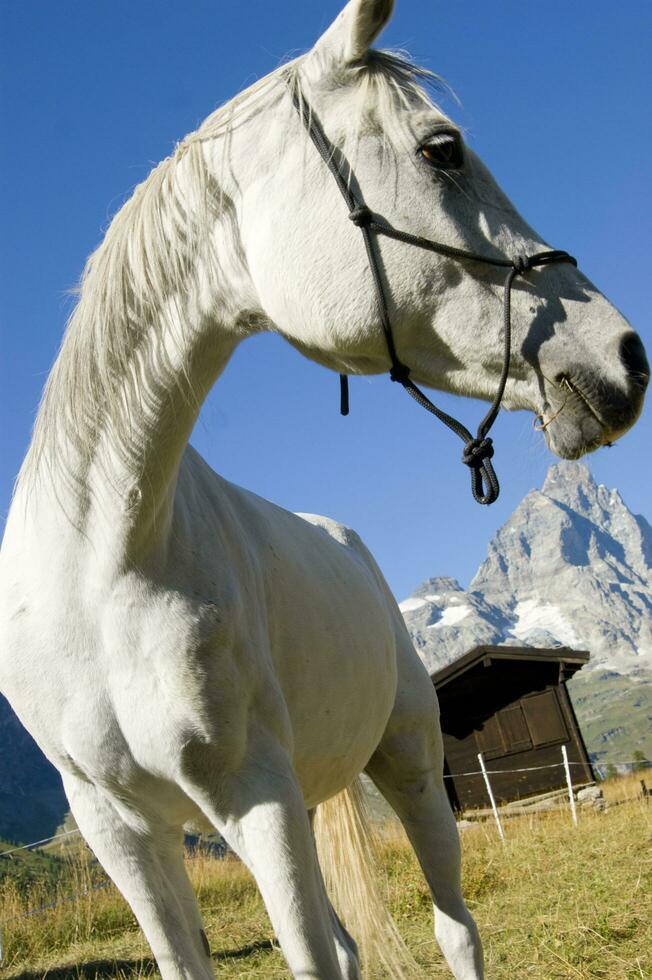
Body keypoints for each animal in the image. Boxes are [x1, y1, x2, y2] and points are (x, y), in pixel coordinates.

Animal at [2, 1, 648, 980]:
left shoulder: (256, 798)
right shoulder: (122, 831)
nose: (625, 360)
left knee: (454, 926)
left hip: (410, 767)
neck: (101, 565)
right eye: (442, 150)